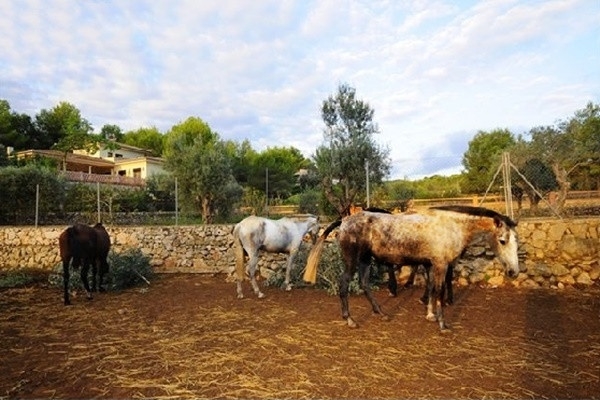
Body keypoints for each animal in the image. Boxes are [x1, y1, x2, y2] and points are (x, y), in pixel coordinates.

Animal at [304, 206, 520, 332]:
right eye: (503, 240)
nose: (514, 272)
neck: (449, 225)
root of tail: (345, 221)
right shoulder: (440, 264)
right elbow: (439, 291)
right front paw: (442, 324)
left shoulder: (432, 264)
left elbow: (431, 288)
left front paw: (430, 315)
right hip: (352, 261)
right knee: (344, 285)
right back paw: (350, 320)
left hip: (365, 260)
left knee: (364, 284)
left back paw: (381, 313)